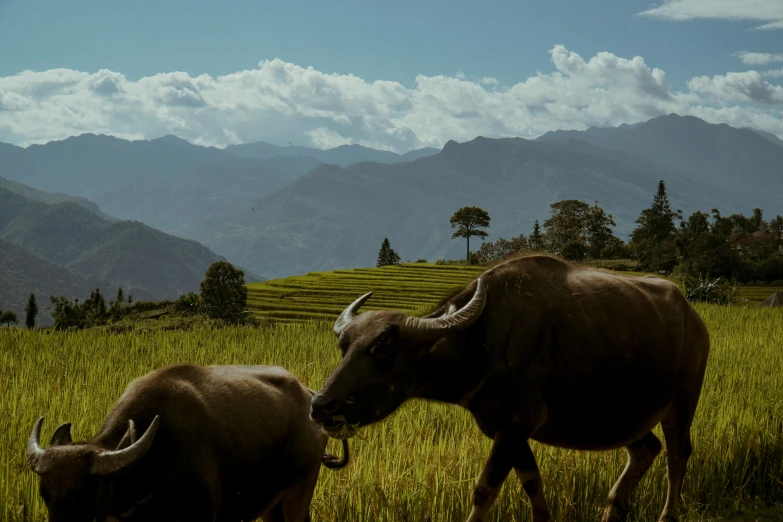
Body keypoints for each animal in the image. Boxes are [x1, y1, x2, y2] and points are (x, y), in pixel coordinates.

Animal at [26, 362, 350, 520]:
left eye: (82, 494)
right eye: (44, 494)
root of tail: (308, 396)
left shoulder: (204, 512)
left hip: (299, 493)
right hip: (271, 504)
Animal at [310, 254, 712, 516]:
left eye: (383, 347)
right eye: (344, 345)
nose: (321, 405)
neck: (481, 343)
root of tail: (693, 316)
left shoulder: (518, 424)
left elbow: (484, 489)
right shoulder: (506, 430)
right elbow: (533, 484)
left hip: (682, 400)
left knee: (678, 456)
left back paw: (667, 516)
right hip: (622, 418)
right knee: (647, 449)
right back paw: (613, 508)